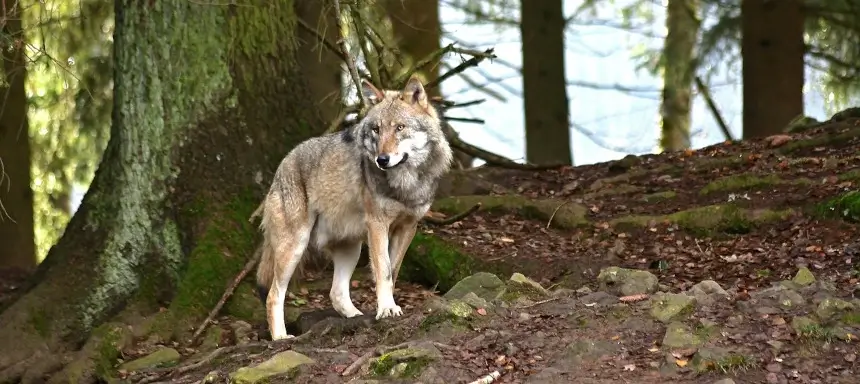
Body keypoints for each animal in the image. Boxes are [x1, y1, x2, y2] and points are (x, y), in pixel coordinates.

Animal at [252, 77, 454, 340]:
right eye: (376, 129)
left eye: (400, 127)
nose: (382, 159)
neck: (405, 183)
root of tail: (282, 165)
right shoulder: (378, 225)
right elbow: (383, 270)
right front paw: (386, 309)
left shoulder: (408, 227)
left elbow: (393, 271)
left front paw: (388, 307)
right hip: (295, 247)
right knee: (273, 295)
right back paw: (281, 337)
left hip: (351, 248)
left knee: (336, 294)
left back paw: (356, 317)